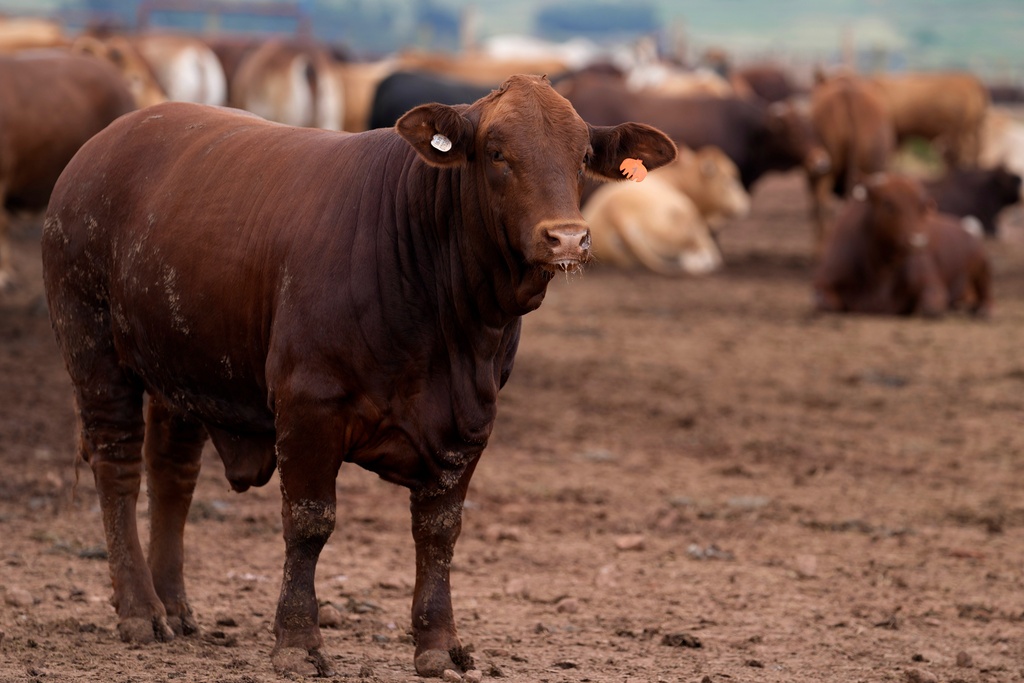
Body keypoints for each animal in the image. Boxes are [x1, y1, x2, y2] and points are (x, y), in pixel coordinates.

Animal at [41, 75, 676, 678]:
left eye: (581, 154)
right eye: (497, 152)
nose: (567, 237)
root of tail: (105, 142)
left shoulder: (469, 424)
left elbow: (439, 533)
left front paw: (439, 645)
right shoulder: (308, 407)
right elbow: (309, 523)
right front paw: (299, 644)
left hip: (183, 370)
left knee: (172, 473)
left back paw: (173, 605)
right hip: (94, 349)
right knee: (117, 467)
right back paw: (139, 610)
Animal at [813, 174, 991, 317]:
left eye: (922, 207)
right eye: (887, 204)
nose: (917, 241)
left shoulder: (932, 286)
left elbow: (929, 308)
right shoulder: (823, 283)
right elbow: (830, 304)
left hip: (982, 265)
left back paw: (983, 310)